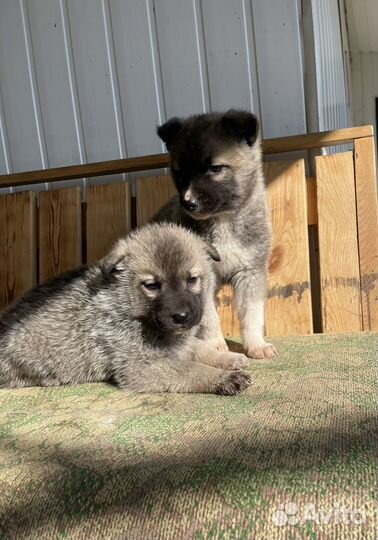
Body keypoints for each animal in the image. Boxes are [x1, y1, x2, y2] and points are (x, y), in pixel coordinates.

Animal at [0, 221, 254, 394]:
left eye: (192, 280)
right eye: (151, 286)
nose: (181, 317)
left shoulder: (181, 343)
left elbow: (202, 349)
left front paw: (229, 359)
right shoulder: (140, 365)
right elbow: (190, 369)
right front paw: (223, 378)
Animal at [155, 108, 276, 358]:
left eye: (216, 168)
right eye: (181, 172)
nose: (188, 203)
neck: (224, 220)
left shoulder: (252, 271)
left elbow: (252, 313)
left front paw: (256, 345)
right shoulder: (201, 278)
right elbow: (208, 317)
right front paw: (214, 345)